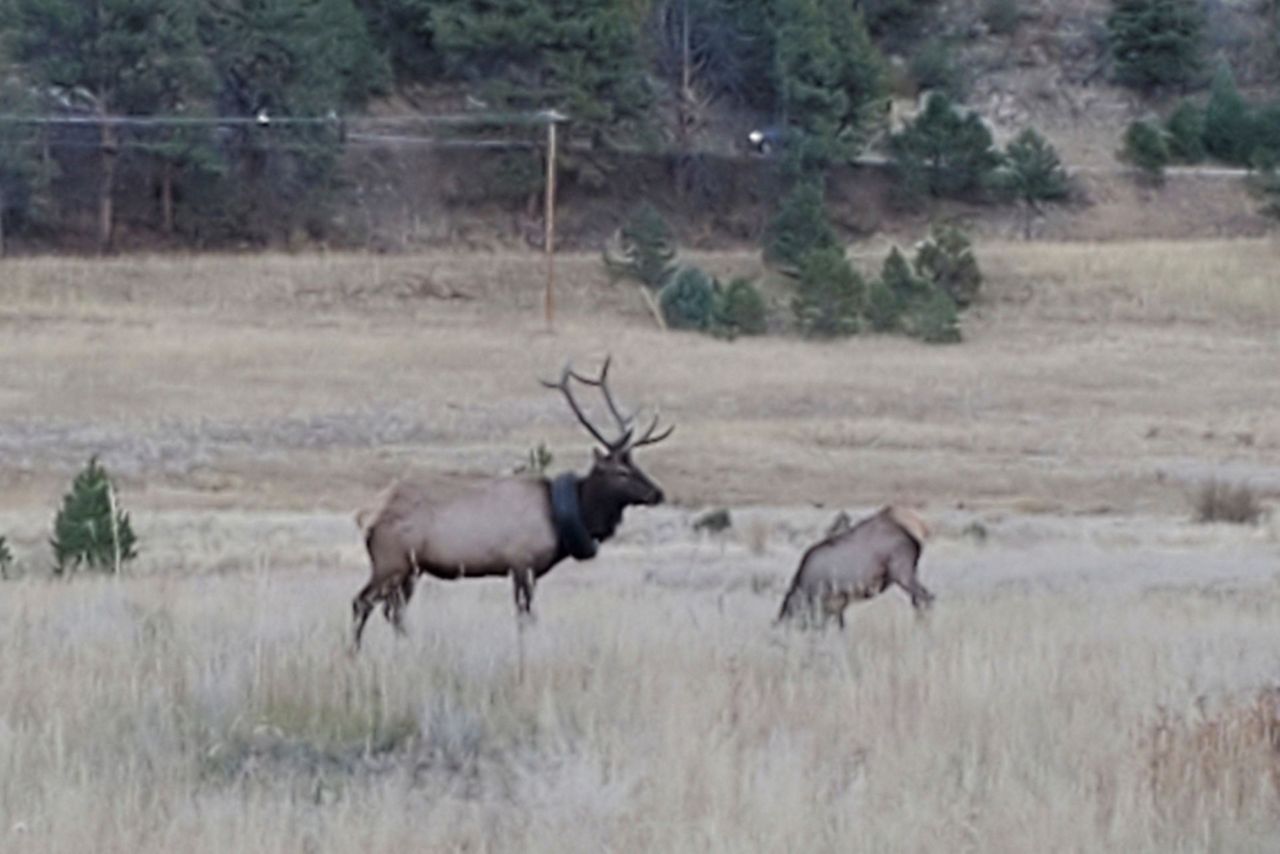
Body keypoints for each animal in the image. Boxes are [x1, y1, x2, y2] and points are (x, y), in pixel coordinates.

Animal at [345, 358, 675, 650]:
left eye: (636, 464)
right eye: (621, 472)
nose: (658, 493)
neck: (560, 519)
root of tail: (365, 515)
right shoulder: (521, 562)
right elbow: (526, 618)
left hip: (411, 569)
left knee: (394, 612)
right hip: (391, 561)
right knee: (361, 602)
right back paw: (353, 654)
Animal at [773, 504, 936, 632]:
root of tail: (914, 538)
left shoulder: (830, 602)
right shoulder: (836, 606)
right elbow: (841, 627)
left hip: (902, 573)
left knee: (926, 598)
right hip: (911, 571)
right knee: (920, 600)